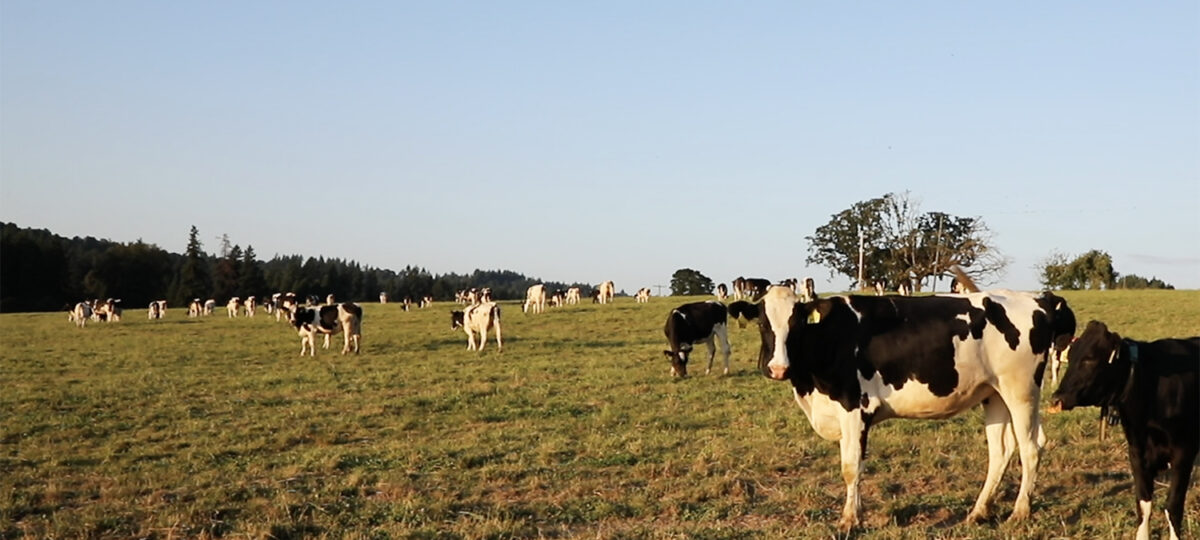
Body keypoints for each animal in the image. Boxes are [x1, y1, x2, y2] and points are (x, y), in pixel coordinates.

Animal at [758, 286, 1080, 530]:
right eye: (763, 323)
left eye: (796, 323)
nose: (778, 368)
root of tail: (1038, 298)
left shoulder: (855, 409)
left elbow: (851, 468)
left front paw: (850, 520)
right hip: (995, 393)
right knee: (1001, 451)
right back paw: (978, 512)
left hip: (1021, 390)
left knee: (1031, 447)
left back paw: (1020, 512)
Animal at [1046, 321, 1195, 540]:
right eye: (1071, 356)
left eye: (1090, 359)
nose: (1057, 398)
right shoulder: (1137, 454)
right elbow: (1143, 507)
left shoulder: (1183, 454)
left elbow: (1173, 508)